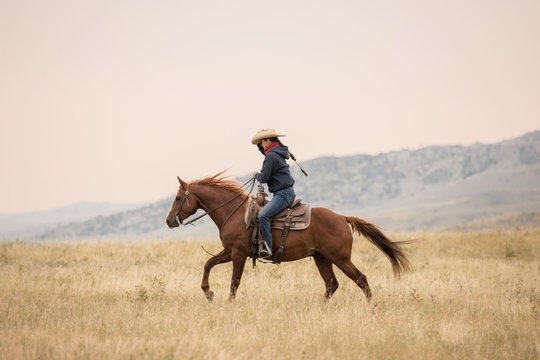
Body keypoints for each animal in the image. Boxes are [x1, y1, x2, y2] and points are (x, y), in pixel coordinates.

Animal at [166, 172, 414, 300]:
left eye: (178, 198)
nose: (168, 221)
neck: (234, 213)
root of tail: (342, 217)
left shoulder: (238, 254)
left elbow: (234, 282)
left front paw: (228, 302)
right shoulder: (229, 252)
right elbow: (208, 263)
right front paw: (208, 292)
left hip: (340, 258)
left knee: (360, 279)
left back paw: (372, 308)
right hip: (321, 258)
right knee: (331, 285)